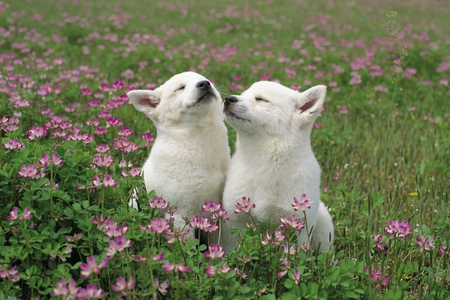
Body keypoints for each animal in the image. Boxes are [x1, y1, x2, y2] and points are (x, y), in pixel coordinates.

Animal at [221, 81, 334, 253]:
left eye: (261, 99)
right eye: (243, 94)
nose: (228, 98)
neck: (265, 160)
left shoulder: (298, 224)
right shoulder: (234, 218)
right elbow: (234, 248)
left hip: (324, 224)